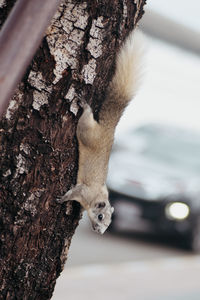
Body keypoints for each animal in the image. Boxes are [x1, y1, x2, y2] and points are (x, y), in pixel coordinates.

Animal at [57, 28, 145, 234]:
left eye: (109, 222)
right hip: (86, 131)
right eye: (100, 217)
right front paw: (62, 199)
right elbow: (73, 193)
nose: (99, 231)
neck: (96, 198)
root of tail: (108, 128)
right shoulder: (83, 191)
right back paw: (84, 104)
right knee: (86, 117)